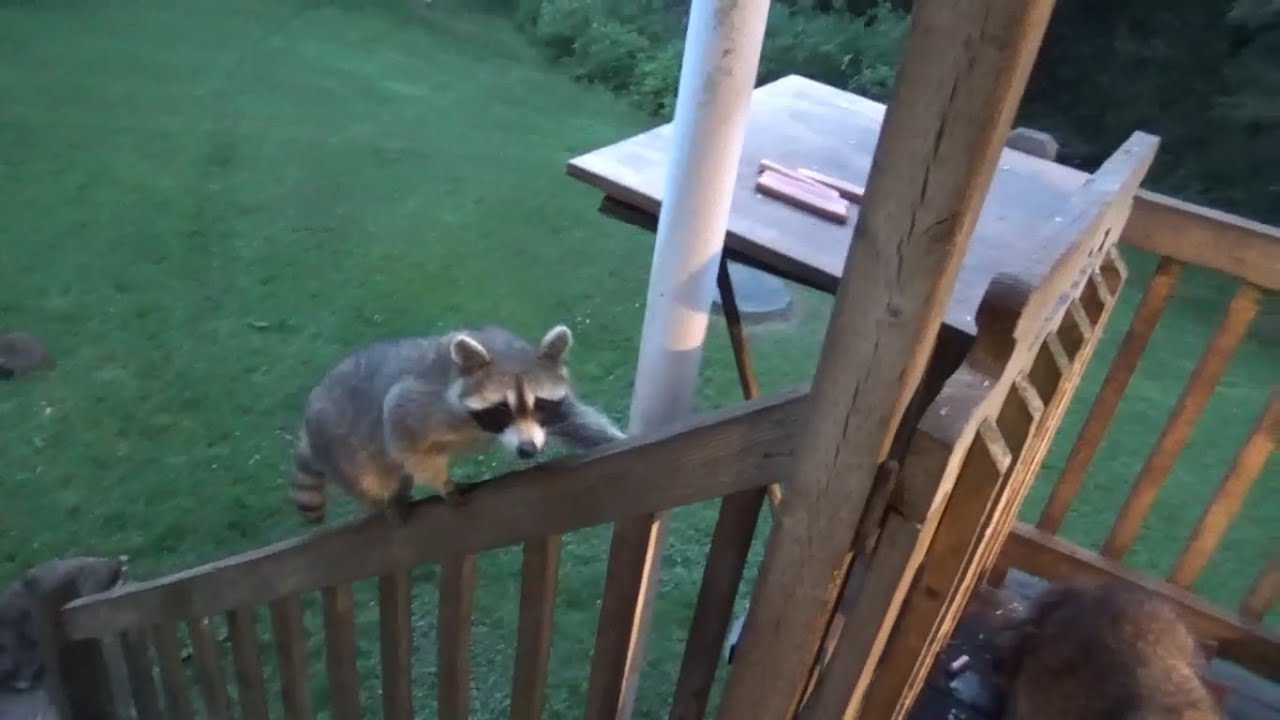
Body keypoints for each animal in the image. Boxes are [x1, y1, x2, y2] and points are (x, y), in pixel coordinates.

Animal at [289, 323, 626, 524]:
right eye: (502, 408)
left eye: (540, 404)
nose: (528, 450)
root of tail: (307, 423)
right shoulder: (424, 402)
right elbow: (396, 420)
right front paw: (443, 483)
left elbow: (575, 420)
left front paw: (612, 439)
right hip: (342, 450)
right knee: (370, 479)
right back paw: (384, 502)